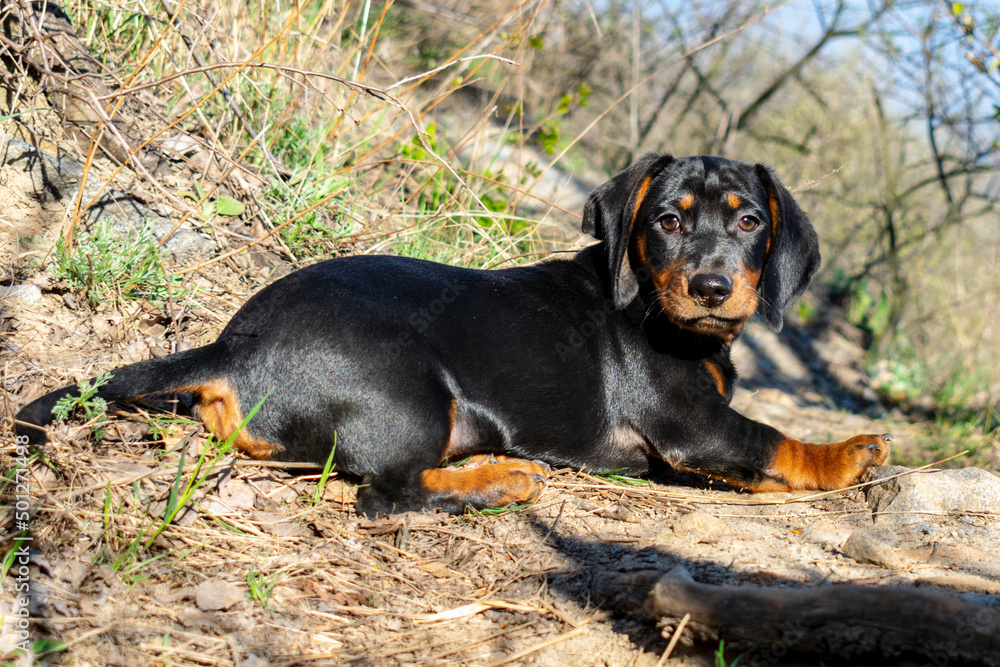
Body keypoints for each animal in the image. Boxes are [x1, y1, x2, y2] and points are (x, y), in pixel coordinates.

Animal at [15, 155, 892, 516]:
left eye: (749, 222)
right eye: (668, 221)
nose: (711, 287)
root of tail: (234, 346)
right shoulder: (694, 427)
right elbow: (775, 441)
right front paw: (850, 452)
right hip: (409, 392)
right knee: (384, 496)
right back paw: (500, 482)